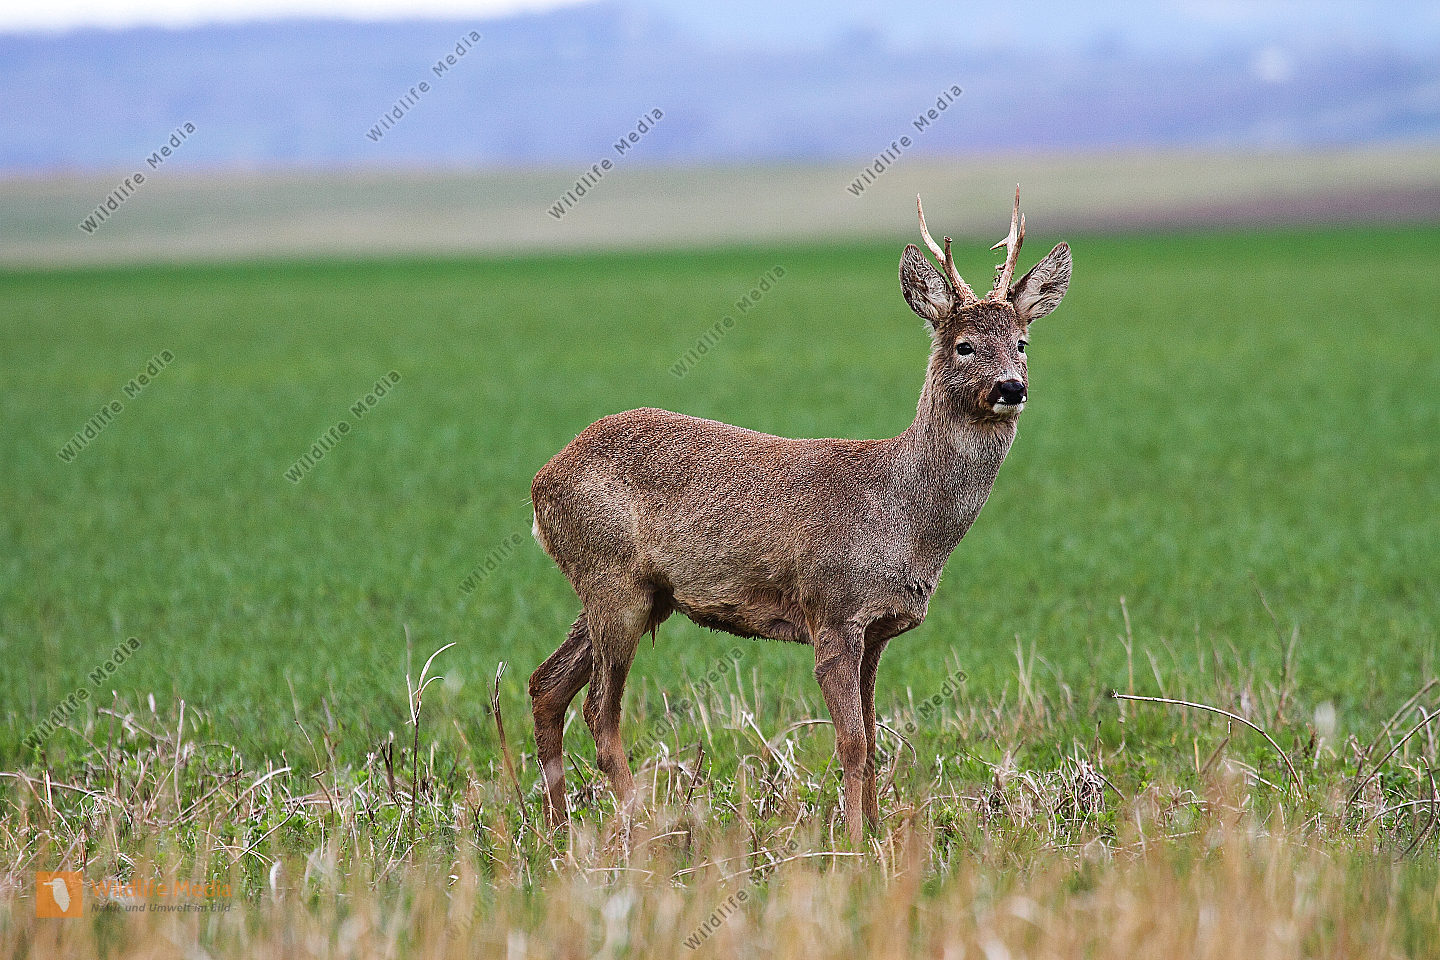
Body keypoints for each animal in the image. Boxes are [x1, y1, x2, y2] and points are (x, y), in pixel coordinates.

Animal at [528, 188, 1071, 841]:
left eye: (1021, 342)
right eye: (964, 345)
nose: (1011, 387)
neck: (905, 518)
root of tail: (539, 484)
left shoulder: (878, 629)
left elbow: (874, 736)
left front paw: (878, 830)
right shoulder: (833, 611)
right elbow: (852, 742)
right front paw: (856, 841)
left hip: (635, 591)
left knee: (545, 685)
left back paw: (559, 832)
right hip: (613, 581)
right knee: (599, 714)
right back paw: (644, 834)